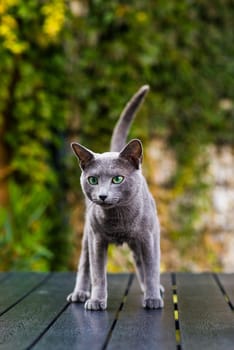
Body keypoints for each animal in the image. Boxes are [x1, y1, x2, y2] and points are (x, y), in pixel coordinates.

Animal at [66, 86, 164, 310]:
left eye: (118, 179)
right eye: (93, 180)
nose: (103, 195)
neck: (119, 219)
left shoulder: (148, 237)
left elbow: (151, 268)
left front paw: (153, 298)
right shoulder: (97, 239)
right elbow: (98, 274)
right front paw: (96, 300)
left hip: (144, 237)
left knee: (143, 264)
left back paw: (153, 289)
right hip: (88, 234)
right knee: (84, 264)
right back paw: (80, 293)